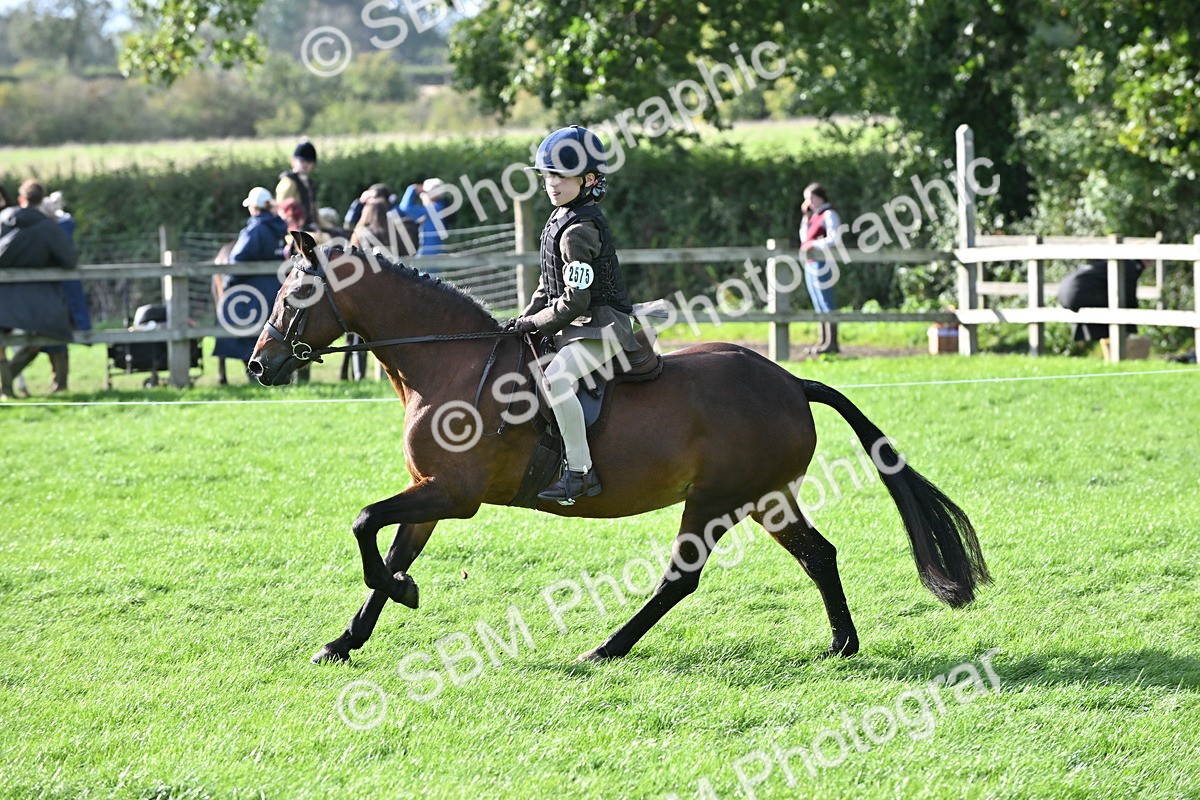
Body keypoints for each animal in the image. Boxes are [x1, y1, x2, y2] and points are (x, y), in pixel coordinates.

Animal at [248, 232, 990, 664]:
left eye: (294, 290)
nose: (259, 365)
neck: (448, 365)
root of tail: (788, 381)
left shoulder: (453, 496)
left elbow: (364, 524)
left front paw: (402, 594)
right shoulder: (430, 496)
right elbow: (388, 546)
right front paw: (348, 638)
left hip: (716, 500)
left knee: (682, 577)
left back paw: (607, 648)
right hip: (765, 499)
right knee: (819, 555)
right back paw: (842, 643)